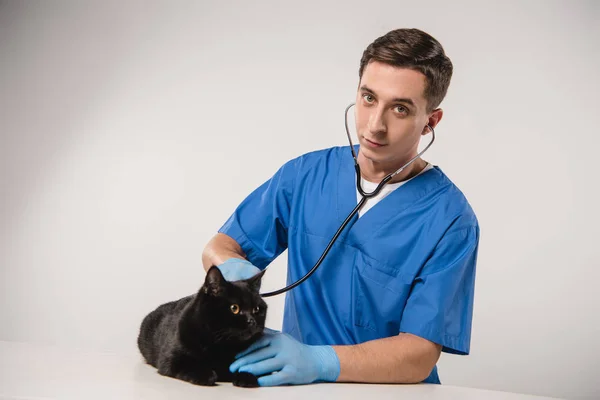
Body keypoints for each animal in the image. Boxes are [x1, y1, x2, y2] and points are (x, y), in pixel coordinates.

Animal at [137, 266, 268, 388]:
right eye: (234, 308)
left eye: (256, 309)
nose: (252, 321)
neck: (221, 343)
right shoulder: (170, 360)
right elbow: (189, 365)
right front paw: (206, 375)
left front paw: (247, 376)